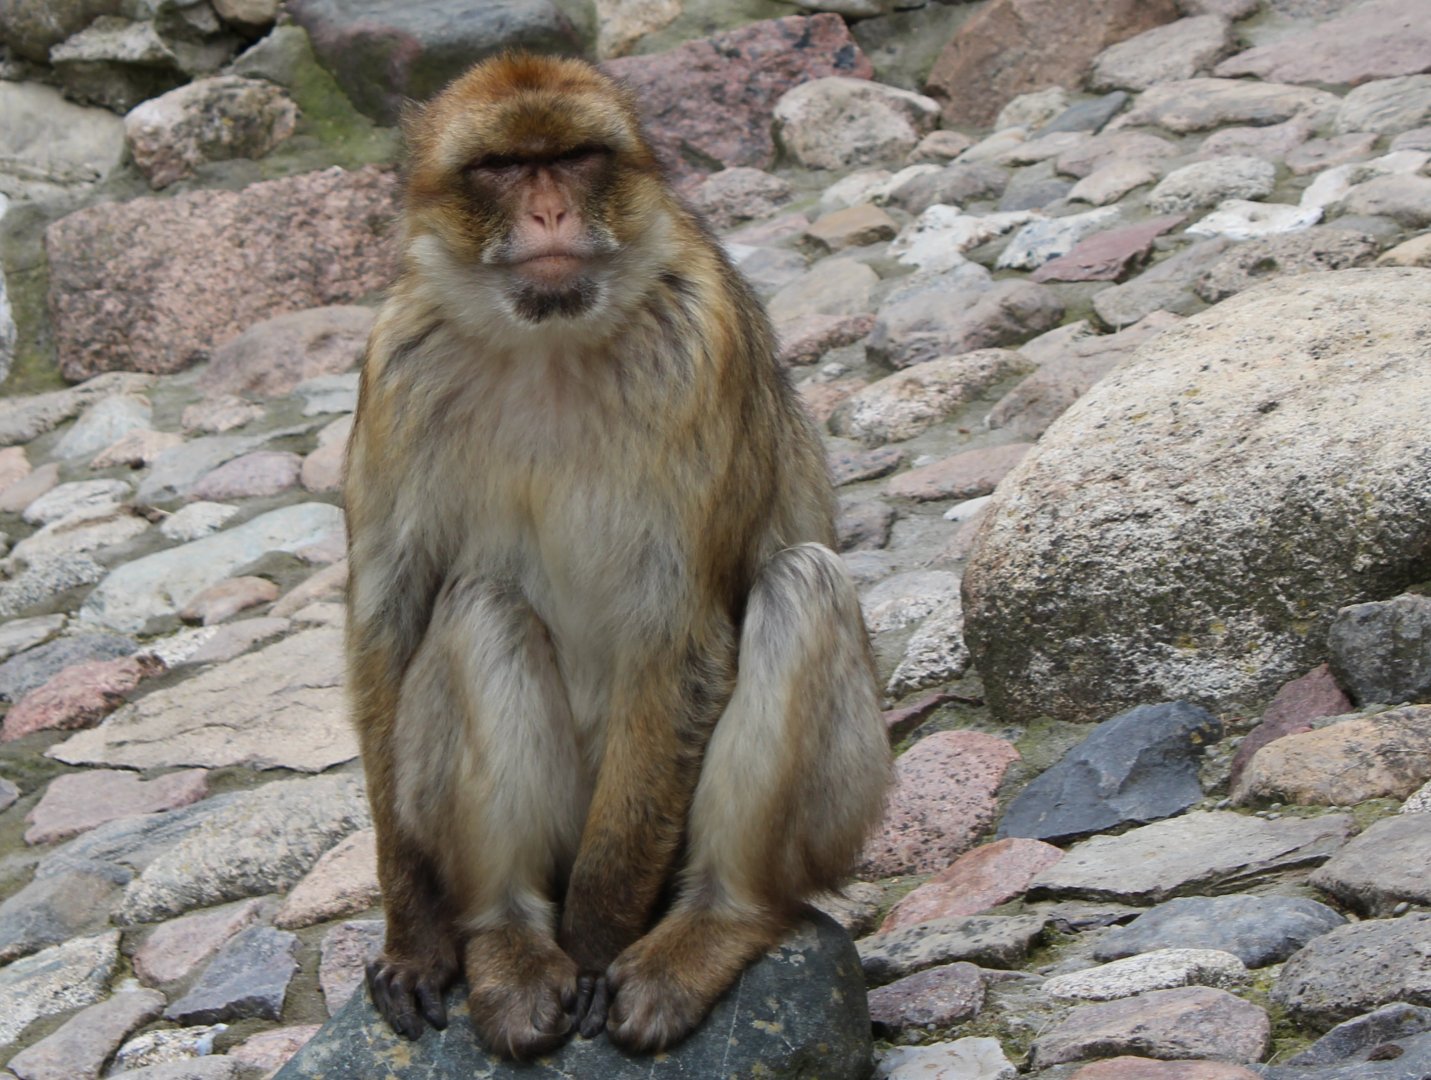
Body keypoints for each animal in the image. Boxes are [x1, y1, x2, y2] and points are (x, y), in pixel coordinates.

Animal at [343, 52, 892, 1061]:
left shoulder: (698, 349)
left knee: (801, 585)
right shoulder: (395, 367)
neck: (546, 344)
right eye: (504, 167)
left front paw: (597, 949)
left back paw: (710, 925)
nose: (549, 213)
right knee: (478, 604)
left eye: (575, 158)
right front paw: (416, 936)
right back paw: (508, 940)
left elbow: (676, 638)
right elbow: (389, 627)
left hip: (823, 819)